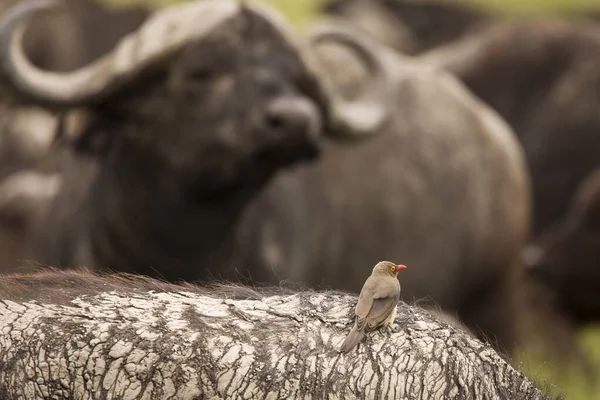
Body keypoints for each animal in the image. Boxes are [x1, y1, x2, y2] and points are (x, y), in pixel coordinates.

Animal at [0, 0, 528, 354]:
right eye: (201, 71)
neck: (172, 244)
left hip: (497, 300)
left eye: (293, 77)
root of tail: (499, 141)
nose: (297, 119)